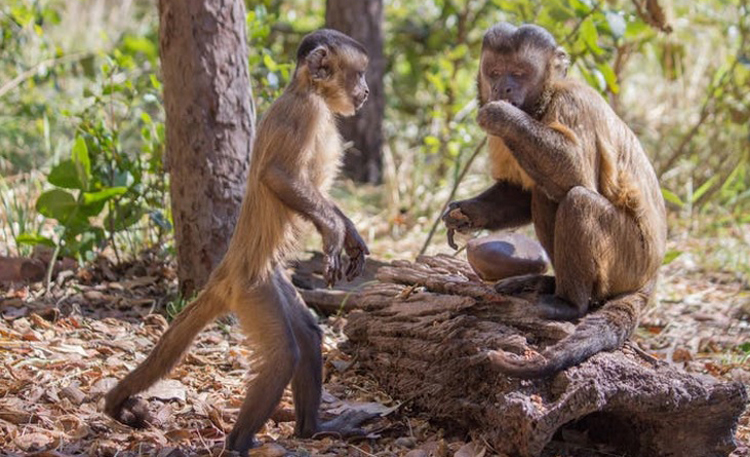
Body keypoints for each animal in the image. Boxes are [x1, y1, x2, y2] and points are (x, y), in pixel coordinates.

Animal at [104, 29, 374, 452]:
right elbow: (277, 176)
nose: (365, 91)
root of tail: (226, 269)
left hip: (270, 278)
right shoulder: (305, 113)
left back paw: (311, 429)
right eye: (358, 74)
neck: (306, 90)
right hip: (250, 290)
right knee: (283, 354)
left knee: (307, 335)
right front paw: (332, 232)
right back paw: (238, 442)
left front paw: (350, 234)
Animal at [444, 22, 668, 378]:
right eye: (495, 72)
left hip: (632, 259)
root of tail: (653, 272)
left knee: (575, 199)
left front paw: (503, 116)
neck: (543, 103)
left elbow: (575, 175)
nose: (503, 88)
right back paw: (549, 284)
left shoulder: (570, 103)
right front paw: (466, 213)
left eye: (520, 73)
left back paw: (569, 303)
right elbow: (519, 194)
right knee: (543, 195)